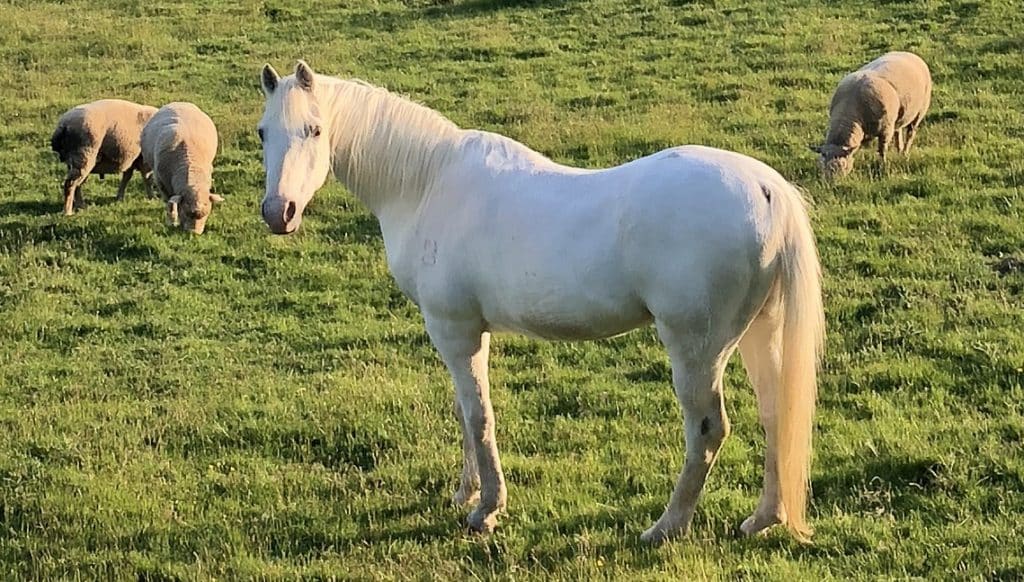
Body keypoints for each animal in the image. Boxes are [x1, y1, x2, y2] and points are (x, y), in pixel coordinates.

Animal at [257, 60, 825, 544]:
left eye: (314, 130)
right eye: (264, 132)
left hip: (697, 348)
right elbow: (466, 411)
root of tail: (766, 188)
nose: (278, 212)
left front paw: (486, 510)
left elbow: (479, 415)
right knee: (776, 412)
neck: (428, 184)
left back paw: (666, 526)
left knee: (708, 430)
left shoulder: (454, 328)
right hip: (756, 333)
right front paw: (467, 492)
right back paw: (763, 518)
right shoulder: (471, 332)